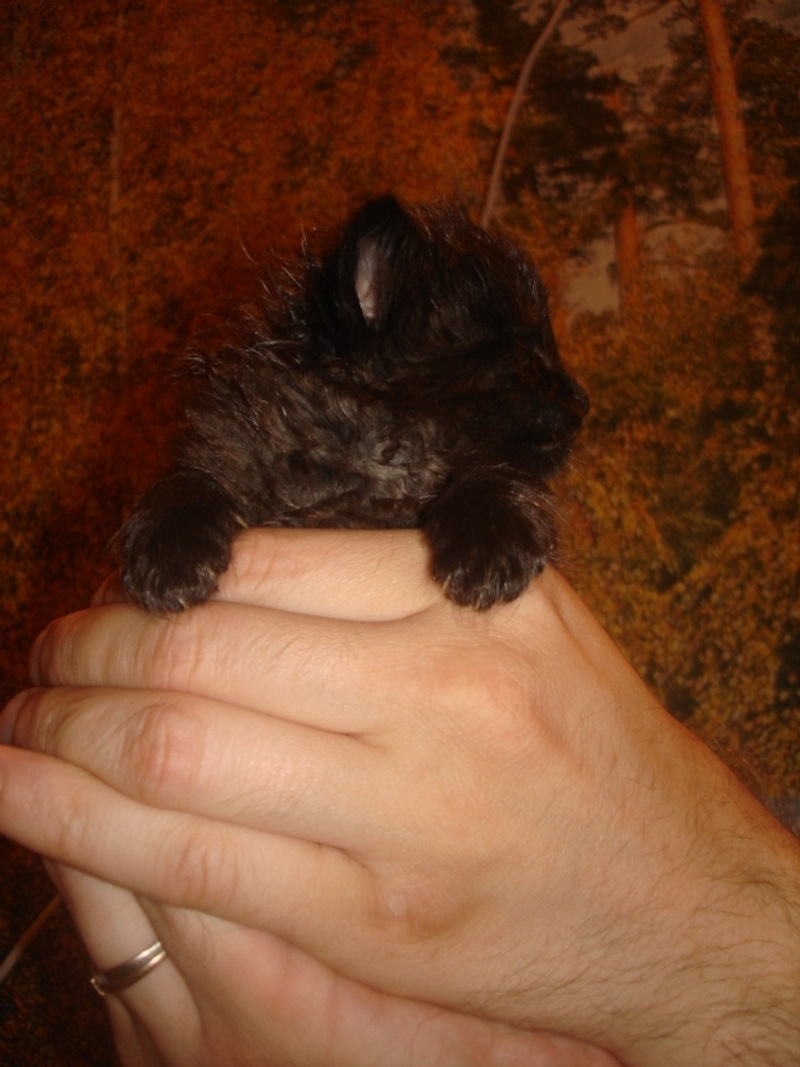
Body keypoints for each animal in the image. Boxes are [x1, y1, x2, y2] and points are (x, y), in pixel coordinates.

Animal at [118, 195, 588, 613]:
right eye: (526, 360)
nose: (582, 401)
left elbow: (491, 470)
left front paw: (490, 536)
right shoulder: (230, 451)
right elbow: (190, 478)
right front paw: (169, 547)